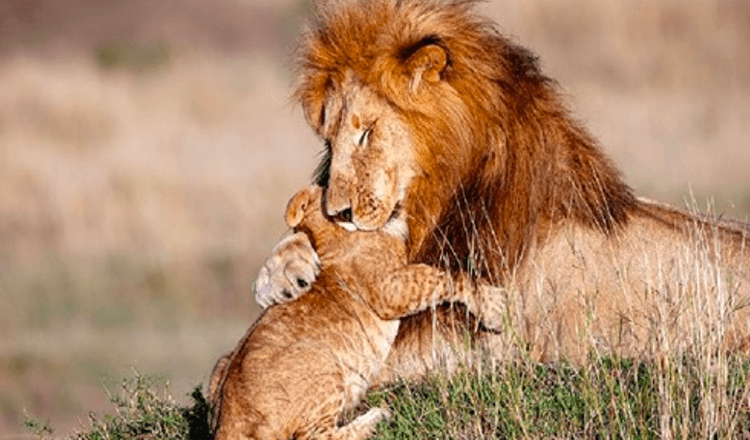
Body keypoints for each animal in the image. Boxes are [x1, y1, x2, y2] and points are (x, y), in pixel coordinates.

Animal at [256, 0, 748, 378]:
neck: (438, 199)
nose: (338, 211)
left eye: (365, 133)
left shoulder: (475, 343)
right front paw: (281, 272)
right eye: (328, 140)